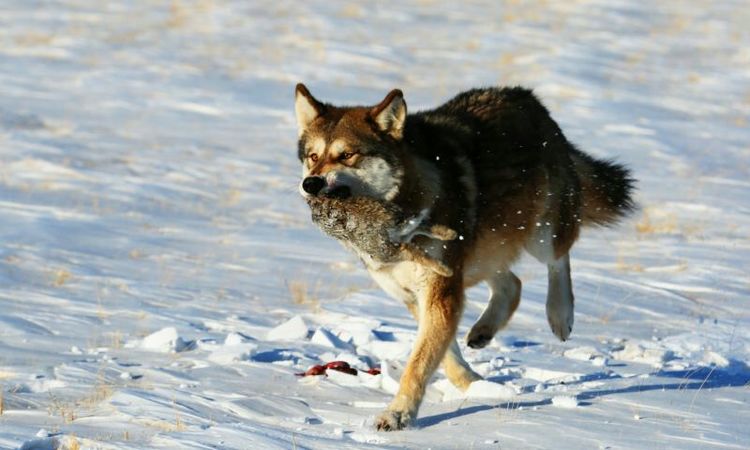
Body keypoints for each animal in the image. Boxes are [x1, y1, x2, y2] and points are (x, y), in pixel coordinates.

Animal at [294, 82, 636, 430]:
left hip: (539, 235)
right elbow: (445, 356)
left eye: (346, 155)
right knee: (512, 283)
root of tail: (527, 96)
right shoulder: (417, 295)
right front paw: (474, 385)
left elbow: (418, 364)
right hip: (484, 250)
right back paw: (484, 331)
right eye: (313, 157)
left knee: (558, 260)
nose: (311, 184)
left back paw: (560, 316)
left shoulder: (440, 290)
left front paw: (398, 415)